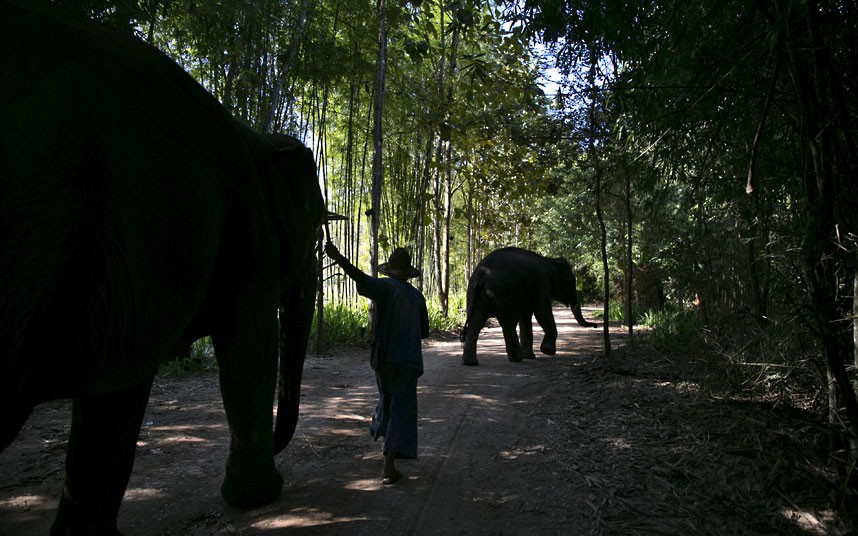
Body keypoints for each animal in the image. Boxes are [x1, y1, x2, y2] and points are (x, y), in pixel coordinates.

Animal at [0, 2, 324, 532]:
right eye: (315, 231)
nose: (281, 449)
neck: (258, 139)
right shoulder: (246, 236)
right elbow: (250, 349)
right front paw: (257, 496)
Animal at [462, 246, 596, 364]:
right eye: (572, 282)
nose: (595, 325)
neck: (549, 260)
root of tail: (481, 275)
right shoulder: (542, 282)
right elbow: (542, 311)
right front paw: (548, 351)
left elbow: (526, 316)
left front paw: (531, 356)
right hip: (504, 294)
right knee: (508, 323)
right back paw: (517, 359)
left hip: (474, 295)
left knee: (476, 323)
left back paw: (471, 362)